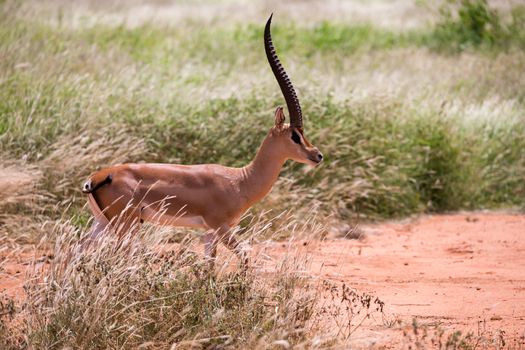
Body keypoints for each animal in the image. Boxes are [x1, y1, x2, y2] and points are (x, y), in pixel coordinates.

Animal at [81, 13, 324, 266]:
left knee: (76, 250)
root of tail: (95, 178)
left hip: (101, 224)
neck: (241, 181)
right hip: (124, 226)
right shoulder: (220, 227)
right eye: (294, 135)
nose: (317, 155)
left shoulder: (209, 233)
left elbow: (209, 265)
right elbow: (245, 258)